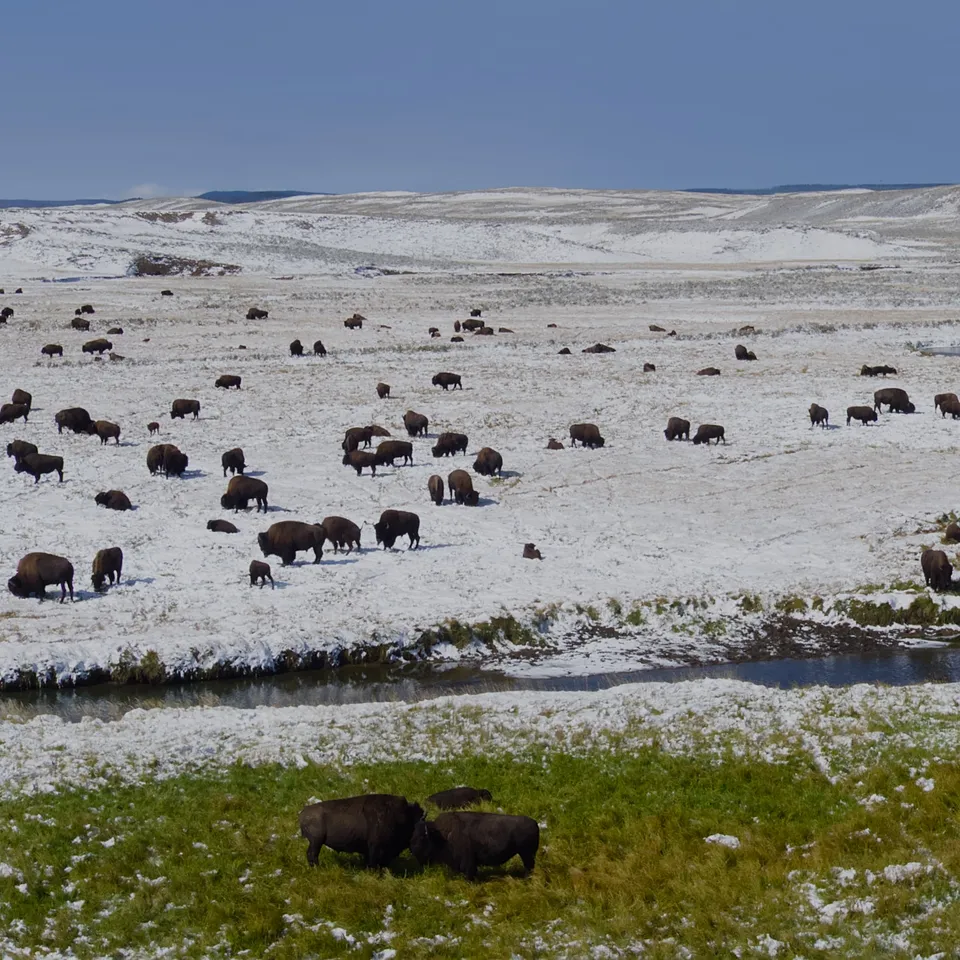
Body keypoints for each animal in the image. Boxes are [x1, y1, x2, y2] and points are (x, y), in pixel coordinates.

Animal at [409, 812, 539, 881]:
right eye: (413, 834)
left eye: (422, 838)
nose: (412, 850)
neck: (442, 835)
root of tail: (535, 823)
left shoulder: (468, 863)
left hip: (526, 854)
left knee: (529, 867)